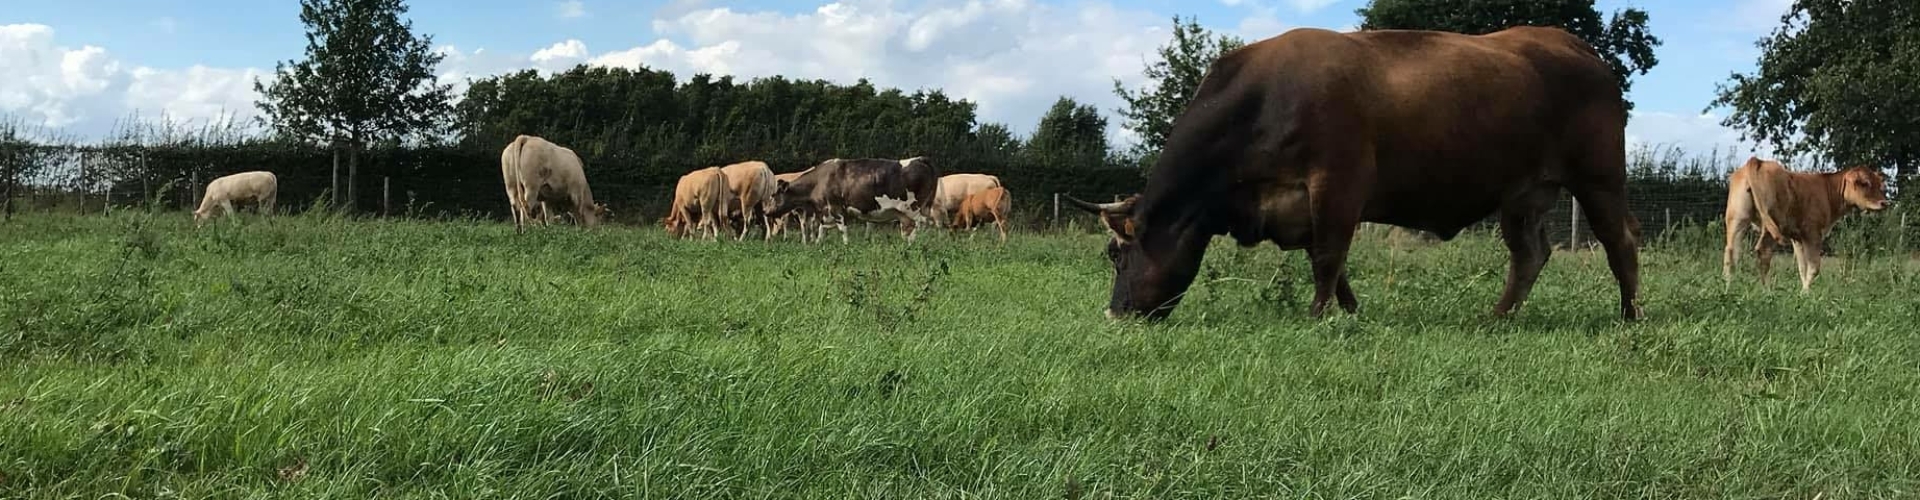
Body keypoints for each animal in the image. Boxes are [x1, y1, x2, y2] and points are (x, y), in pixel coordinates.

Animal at [1067, 27, 1635, 323]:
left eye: (1117, 254)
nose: (1115, 314)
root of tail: (1574, 44)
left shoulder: (1338, 183)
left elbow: (1327, 256)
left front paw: (1317, 316)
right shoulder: (1303, 204)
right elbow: (1333, 262)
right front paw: (1351, 310)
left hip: (1599, 177)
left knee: (1620, 244)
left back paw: (1630, 316)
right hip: (1524, 193)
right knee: (1529, 255)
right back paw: (1498, 318)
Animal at [1728, 155, 1889, 288]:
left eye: (1879, 184)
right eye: (1864, 183)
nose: (1884, 203)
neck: (1828, 191)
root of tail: (1758, 161)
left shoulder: (1798, 238)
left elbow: (1802, 267)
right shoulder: (1812, 233)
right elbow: (1813, 268)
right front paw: (1805, 294)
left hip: (1737, 217)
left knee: (1731, 251)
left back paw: (1728, 286)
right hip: (1772, 223)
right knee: (1763, 252)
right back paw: (1766, 291)